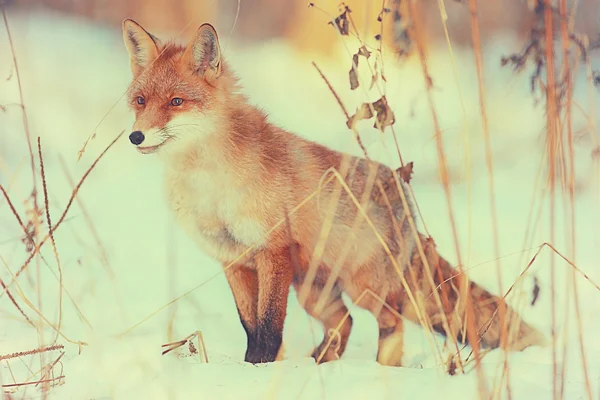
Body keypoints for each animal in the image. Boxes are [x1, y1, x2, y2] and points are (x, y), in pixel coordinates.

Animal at [120, 21, 544, 366]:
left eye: (176, 102)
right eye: (140, 101)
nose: (135, 136)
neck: (209, 187)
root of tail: (405, 201)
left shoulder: (272, 251)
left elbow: (269, 329)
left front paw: (261, 370)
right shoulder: (233, 260)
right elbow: (250, 326)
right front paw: (251, 368)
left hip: (365, 287)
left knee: (391, 322)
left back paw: (379, 370)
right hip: (315, 292)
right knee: (346, 321)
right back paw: (322, 362)